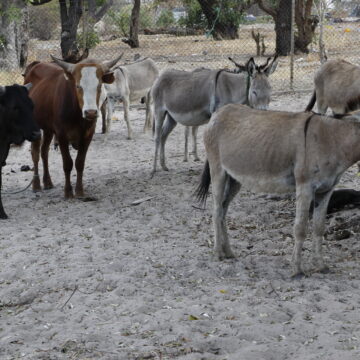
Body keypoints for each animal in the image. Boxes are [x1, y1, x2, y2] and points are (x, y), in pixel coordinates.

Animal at [24, 54, 122, 198]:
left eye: (99, 86)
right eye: (78, 86)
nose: (91, 112)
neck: (77, 115)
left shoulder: (88, 135)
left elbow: (80, 162)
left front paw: (80, 191)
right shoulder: (61, 135)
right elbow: (67, 163)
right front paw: (68, 191)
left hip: (48, 129)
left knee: (44, 152)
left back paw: (47, 182)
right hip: (36, 126)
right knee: (35, 153)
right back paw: (36, 185)